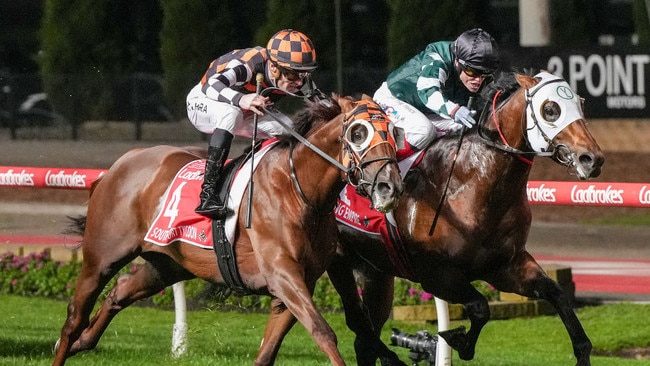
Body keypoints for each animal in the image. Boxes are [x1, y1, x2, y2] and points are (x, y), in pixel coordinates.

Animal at [53, 95, 402, 366]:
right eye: (358, 132)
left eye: (394, 131)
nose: (389, 187)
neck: (299, 190)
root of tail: (117, 166)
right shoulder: (283, 274)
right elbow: (323, 332)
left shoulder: (298, 281)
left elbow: (267, 353)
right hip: (101, 257)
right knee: (74, 317)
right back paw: (69, 341)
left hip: (168, 264)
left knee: (120, 291)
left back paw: (84, 341)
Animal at [326, 70, 604, 364]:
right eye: (551, 109)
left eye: (581, 103)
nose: (591, 159)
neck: (471, 182)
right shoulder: (434, 274)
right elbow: (480, 307)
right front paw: (455, 339)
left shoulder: (505, 265)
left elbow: (557, 294)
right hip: (338, 260)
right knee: (357, 324)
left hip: (376, 271)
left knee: (364, 338)